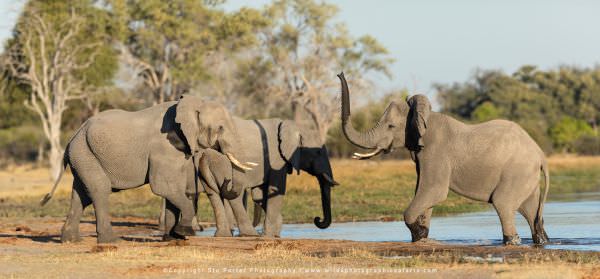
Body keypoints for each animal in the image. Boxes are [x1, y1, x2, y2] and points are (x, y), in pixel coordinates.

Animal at [39, 94, 255, 243]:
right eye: (220, 128)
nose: (227, 181)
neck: (192, 104)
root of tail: (73, 137)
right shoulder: (163, 147)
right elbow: (164, 187)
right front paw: (184, 232)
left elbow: (174, 189)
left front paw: (174, 238)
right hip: (85, 153)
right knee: (100, 190)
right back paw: (112, 241)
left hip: (83, 155)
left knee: (81, 194)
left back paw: (71, 240)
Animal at [338, 73, 548, 246]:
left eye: (391, 126)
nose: (340, 74)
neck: (423, 115)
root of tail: (540, 154)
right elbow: (423, 193)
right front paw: (422, 236)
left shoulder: (435, 151)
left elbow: (433, 191)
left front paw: (420, 233)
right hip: (526, 178)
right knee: (531, 213)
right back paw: (541, 240)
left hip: (517, 173)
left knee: (503, 204)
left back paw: (512, 241)